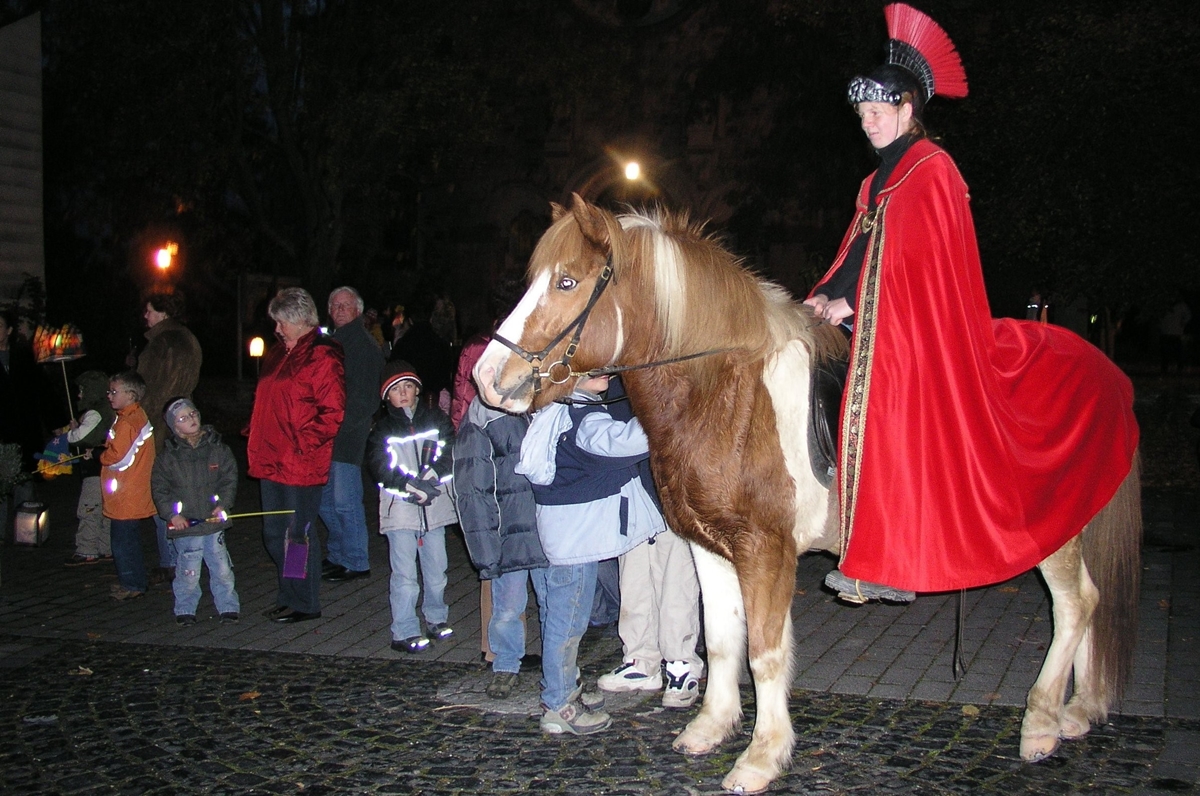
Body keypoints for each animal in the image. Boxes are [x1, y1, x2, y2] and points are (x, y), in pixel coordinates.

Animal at [470, 194, 1142, 796]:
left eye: (566, 281)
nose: (487, 381)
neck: (727, 394)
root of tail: (1107, 370)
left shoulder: (767, 553)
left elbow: (765, 652)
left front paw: (762, 757)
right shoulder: (710, 547)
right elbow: (722, 639)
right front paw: (710, 729)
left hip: (1054, 531)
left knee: (1074, 605)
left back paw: (1042, 723)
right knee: (1094, 602)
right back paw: (1079, 711)